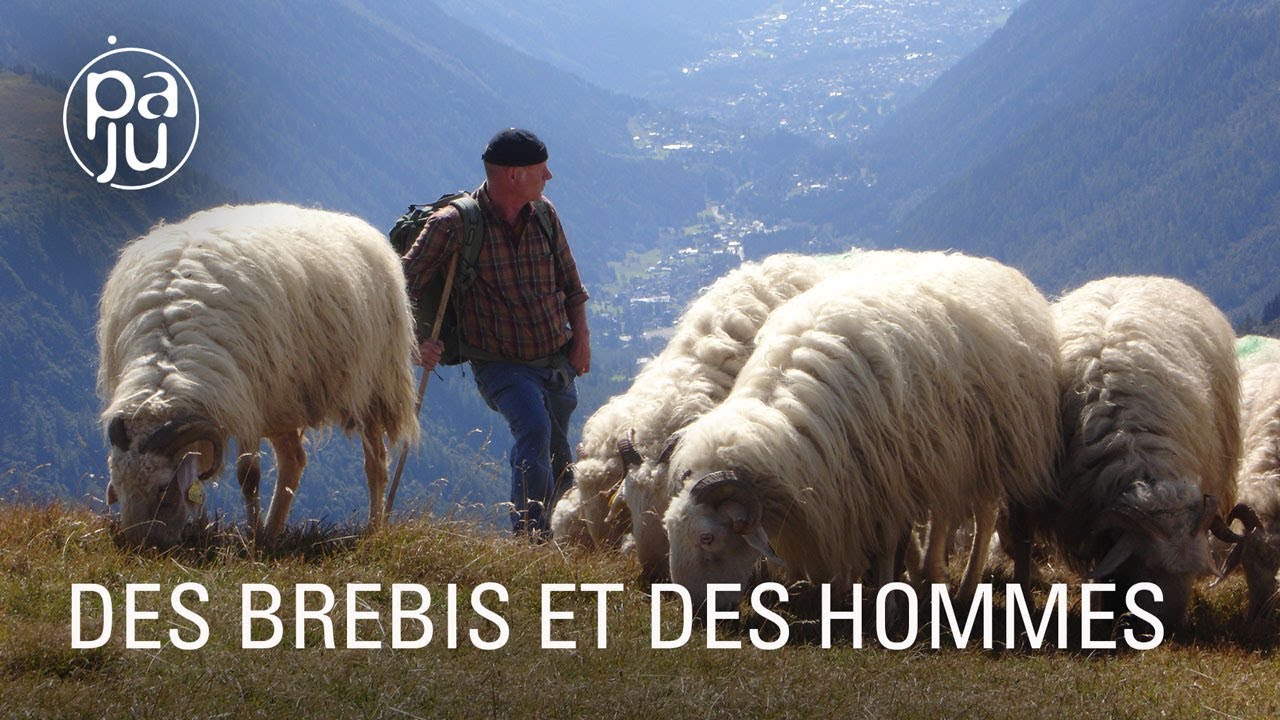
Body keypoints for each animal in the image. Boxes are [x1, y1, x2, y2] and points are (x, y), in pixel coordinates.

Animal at [101, 202, 419, 543]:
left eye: (163, 488)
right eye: (118, 486)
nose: (142, 543)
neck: (167, 359)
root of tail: (353, 224)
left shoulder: (246, 401)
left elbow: (248, 478)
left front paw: (250, 538)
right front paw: (212, 528)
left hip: (373, 388)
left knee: (376, 464)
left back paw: (373, 529)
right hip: (284, 398)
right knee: (293, 462)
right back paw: (273, 531)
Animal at [660, 249, 1059, 607]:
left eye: (707, 538)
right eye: (669, 530)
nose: (696, 612)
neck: (787, 420)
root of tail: (992, 268)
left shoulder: (885, 479)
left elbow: (886, 544)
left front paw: (888, 601)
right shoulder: (854, 484)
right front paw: (843, 590)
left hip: (993, 444)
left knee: (985, 515)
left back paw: (964, 589)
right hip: (947, 452)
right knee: (944, 514)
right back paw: (931, 575)